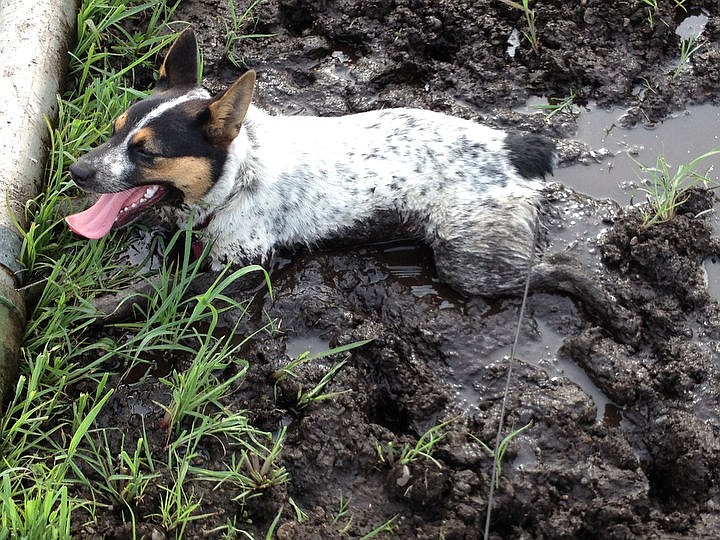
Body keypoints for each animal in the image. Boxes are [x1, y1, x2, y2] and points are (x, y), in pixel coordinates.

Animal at [66, 28, 564, 300]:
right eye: (114, 129)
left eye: (147, 151)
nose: (76, 171)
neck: (236, 179)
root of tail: (515, 147)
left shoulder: (240, 268)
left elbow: (145, 295)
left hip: (471, 258)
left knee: (557, 271)